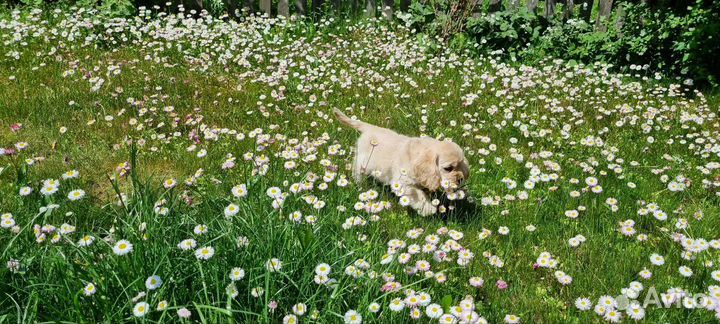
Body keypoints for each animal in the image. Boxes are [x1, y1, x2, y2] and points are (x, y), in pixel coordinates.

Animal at [334, 107, 470, 216]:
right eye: (448, 168)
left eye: (460, 165)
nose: (460, 179)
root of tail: (369, 127)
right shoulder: (403, 182)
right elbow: (418, 195)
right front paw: (428, 209)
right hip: (365, 162)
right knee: (357, 168)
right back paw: (360, 183)